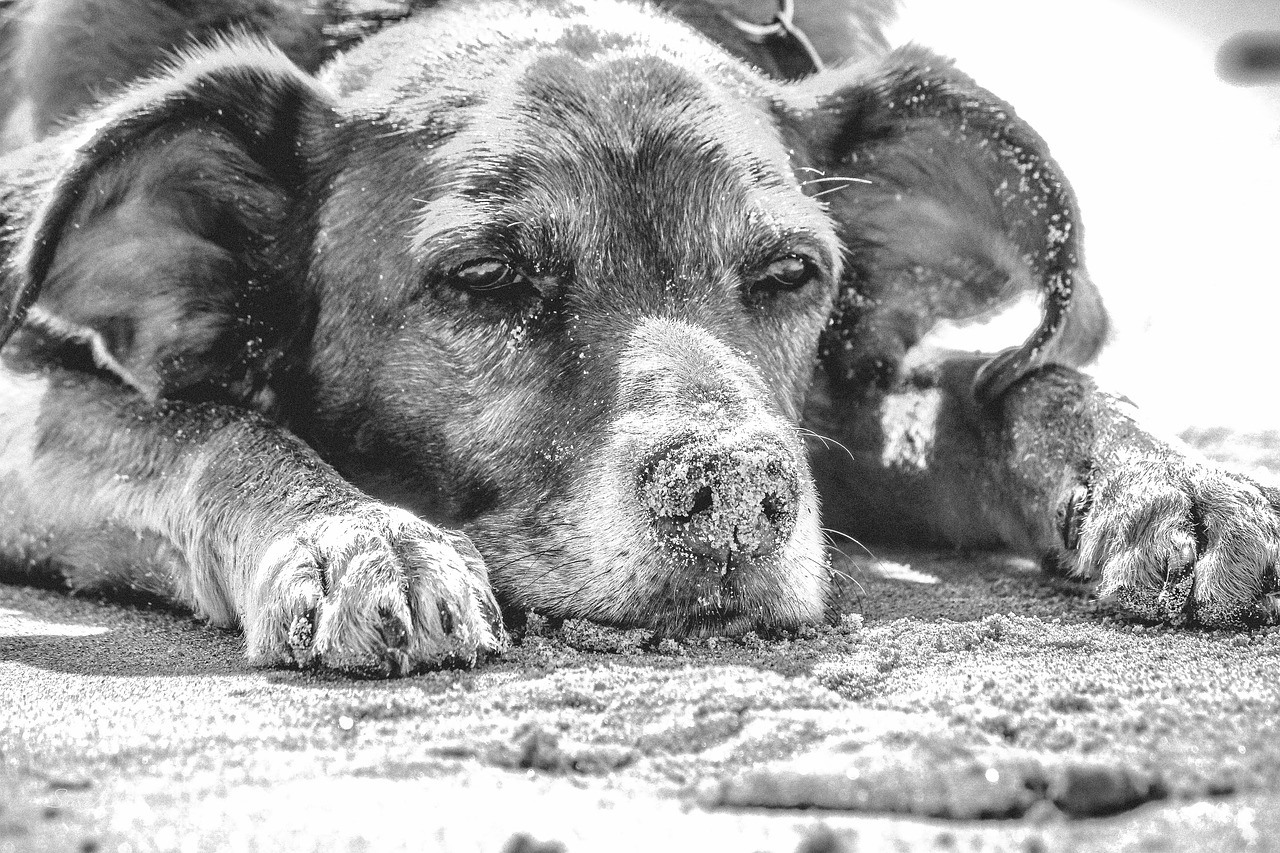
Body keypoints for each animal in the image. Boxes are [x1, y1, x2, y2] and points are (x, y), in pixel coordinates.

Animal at [0, 1, 1274, 676]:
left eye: (790, 273)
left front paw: (1163, 480)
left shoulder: (837, 397)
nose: (736, 497)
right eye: (485, 278)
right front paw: (354, 530)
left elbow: (998, 384)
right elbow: (206, 427)